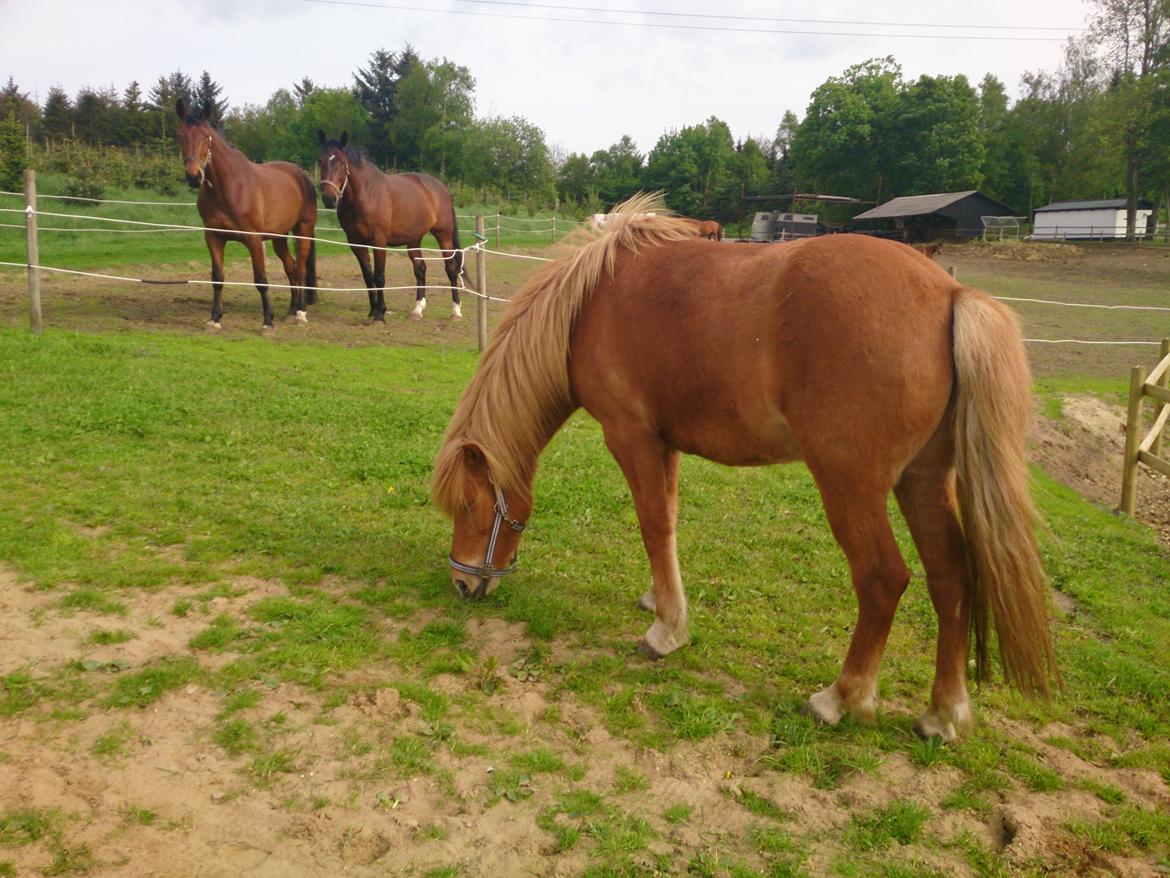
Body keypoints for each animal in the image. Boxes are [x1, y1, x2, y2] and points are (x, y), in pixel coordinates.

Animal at [175, 99, 318, 332]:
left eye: (205, 136)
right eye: (180, 135)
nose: (194, 176)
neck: (229, 187)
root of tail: (303, 175)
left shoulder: (253, 239)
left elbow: (260, 279)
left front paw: (267, 321)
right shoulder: (213, 237)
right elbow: (217, 277)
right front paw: (215, 318)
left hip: (303, 231)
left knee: (302, 269)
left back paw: (300, 314)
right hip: (279, 238)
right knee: (291, 267)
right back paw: (291, 310)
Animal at [320, 130, 470, 323]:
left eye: (341, 162)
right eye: (320, 160)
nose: (329, 199)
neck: (367, 195)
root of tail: (440, 187)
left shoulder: (379, 241)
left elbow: (379, 277)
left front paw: (380, 314)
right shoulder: (355, 243)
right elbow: (367, 277)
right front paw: (372, 310)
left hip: (443, 236)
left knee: (451, 269)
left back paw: (456, 311)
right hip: (414, 239)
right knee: (420, 269)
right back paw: (417, 309)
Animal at [437, 194, 1062, 744]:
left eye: (471, 505)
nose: (463, 584)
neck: (588, 304)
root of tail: (951, 292)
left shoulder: (630, 436)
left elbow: (652, 525)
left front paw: (666, 632)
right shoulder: (664, 444)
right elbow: (666, 523)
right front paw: (660, 601)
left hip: (850, 486)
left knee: (884, 579)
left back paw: (841, 698)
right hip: (923, 483)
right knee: (952, 578)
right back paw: (943, 714)